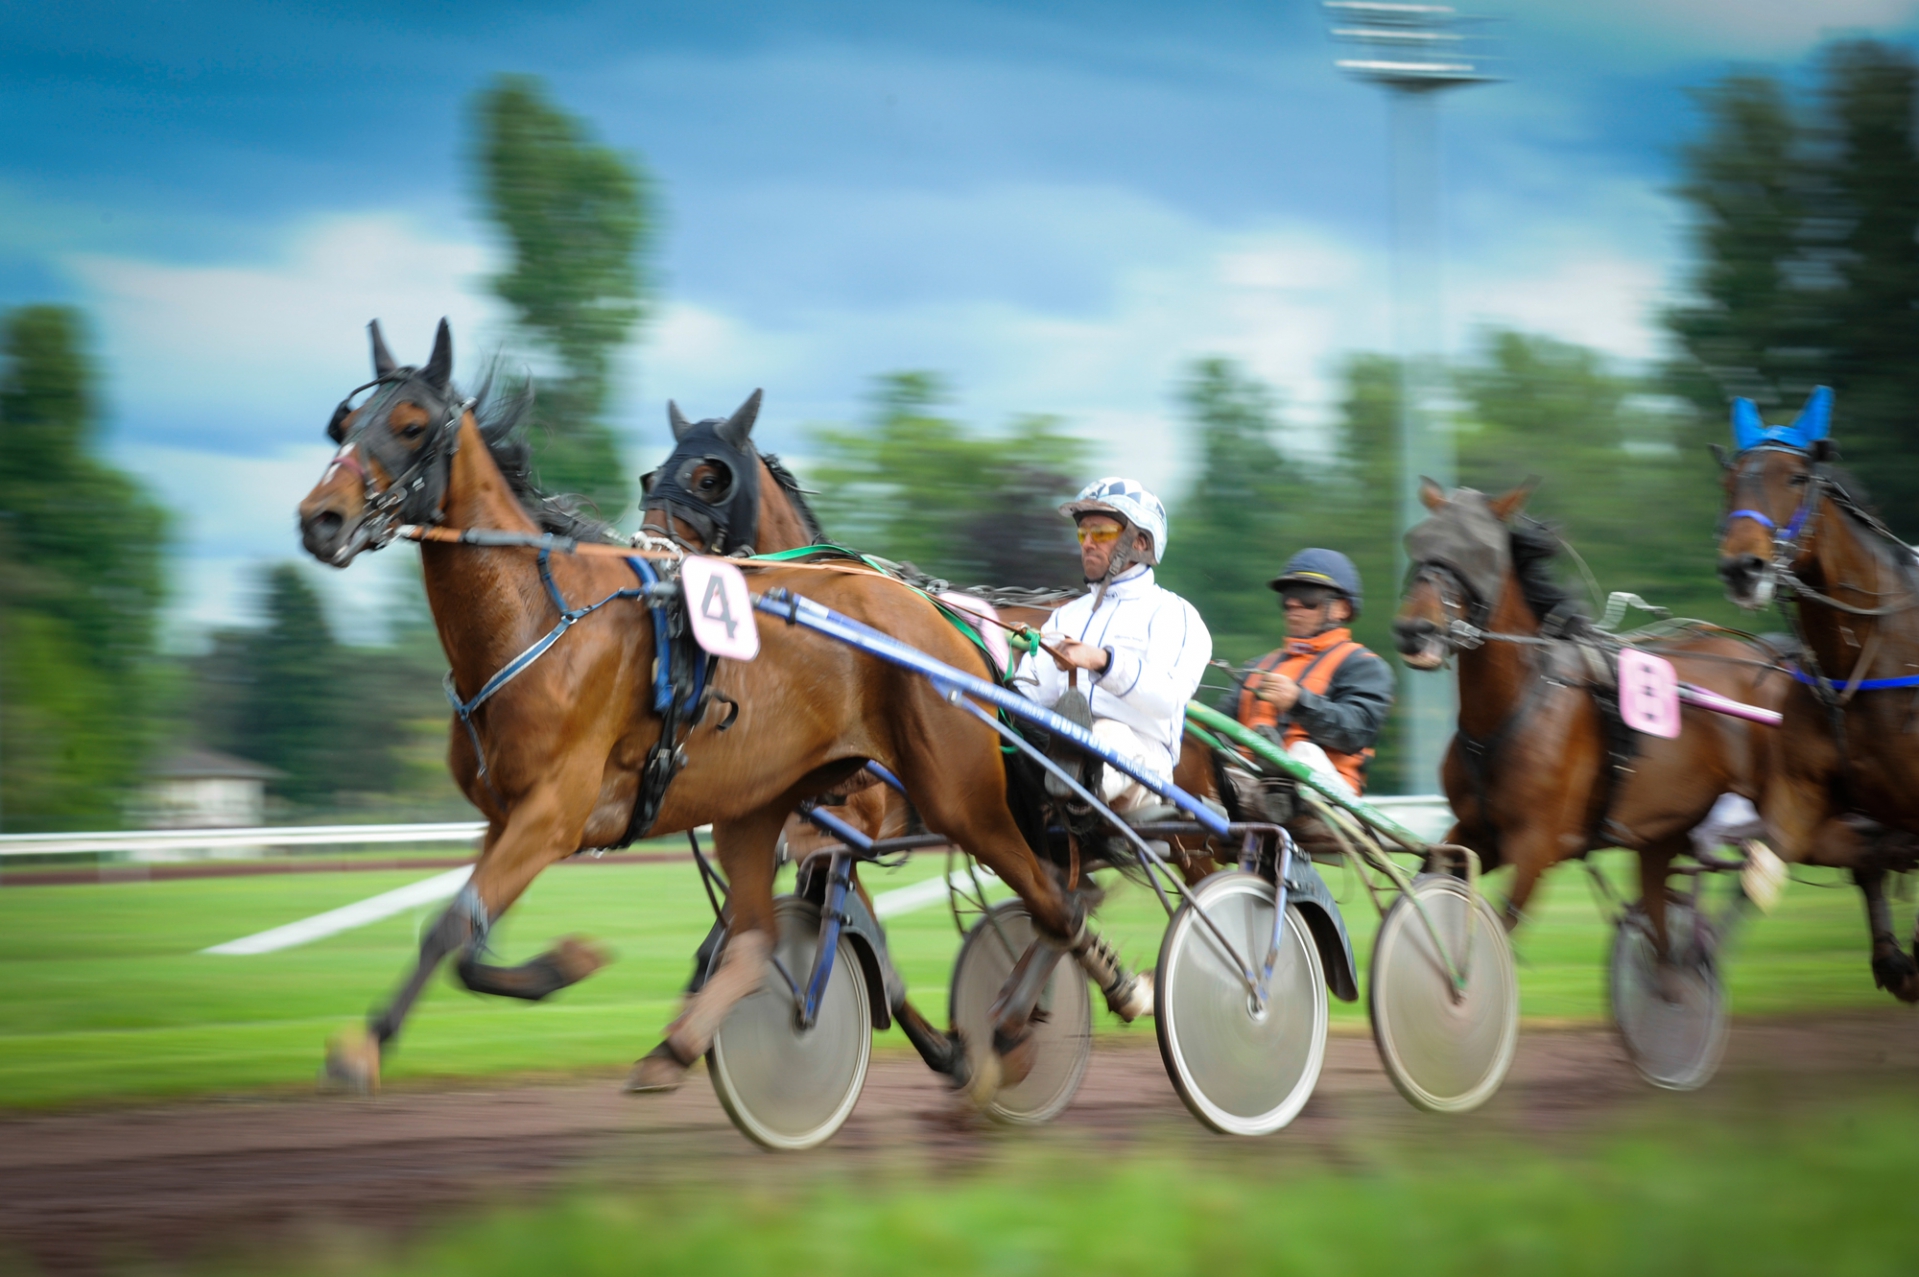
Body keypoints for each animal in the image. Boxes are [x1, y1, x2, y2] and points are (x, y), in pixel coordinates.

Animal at [293, 324, 1128, 1090]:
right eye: (345, 424)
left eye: (410, 425)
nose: (319, 518)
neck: (538, 621)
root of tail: (941, 622)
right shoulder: (508, 815)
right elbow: (465, 939)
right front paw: (564, 963)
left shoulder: (556, 812)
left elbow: (450, 926)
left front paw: (367, 1045)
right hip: (758, 806)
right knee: (766, 934)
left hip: (959, 795)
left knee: (1059, 897)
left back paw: (1042, 1013)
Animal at [1389, 480, 1788, 956]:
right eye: (1419, 542)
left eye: (1474, 552)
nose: (1414, 632)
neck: (1509, 709)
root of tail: (1770, 658)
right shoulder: (1474, 833)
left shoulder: (1535, 844)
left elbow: (1501, 925)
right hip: (1665, 830)